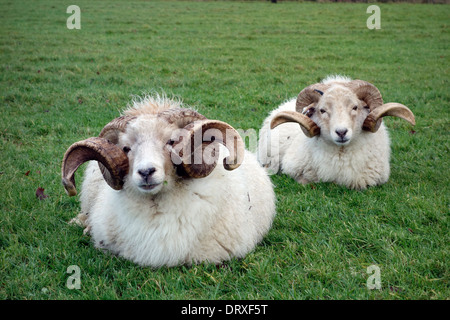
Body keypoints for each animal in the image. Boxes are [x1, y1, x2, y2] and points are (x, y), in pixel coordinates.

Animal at [258, 75, 416, 189]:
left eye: (355, 107)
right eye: (322, 110)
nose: (341, 132)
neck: (341, 154)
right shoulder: (292, 168)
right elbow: (304, 180)